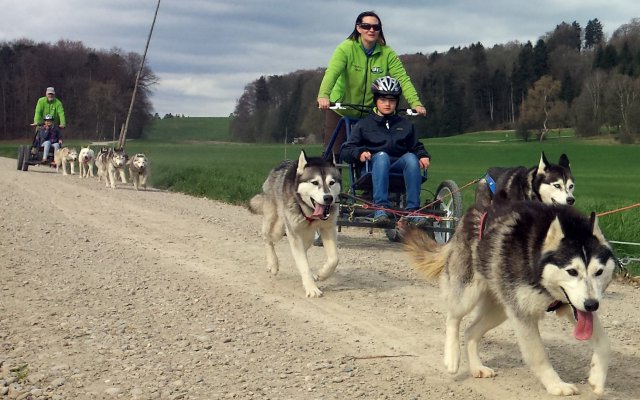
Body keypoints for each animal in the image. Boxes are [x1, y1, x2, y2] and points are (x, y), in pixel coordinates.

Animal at [248, 150, 342, 296]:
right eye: (315, 182)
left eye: (332, 182)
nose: (328, 198)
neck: (310, 213)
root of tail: (279, 165)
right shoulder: (294, 233)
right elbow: (304, 264)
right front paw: (311, 288)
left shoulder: (328, 228)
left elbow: (334, 259)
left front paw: (322, 274)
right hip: (277, 225)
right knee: (267, 238)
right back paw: (273, 263)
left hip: (308, 234)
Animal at [404, 200, 620, 396]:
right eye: (572, 271)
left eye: (599, 272)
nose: (592, 305)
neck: (536, 256)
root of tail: (473, 209)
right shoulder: (523, 315)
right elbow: (539, 355)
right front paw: (556, 385)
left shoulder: (571, 307)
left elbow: (605, 343)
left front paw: (597, 378)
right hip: (468, 294)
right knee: (453, 318)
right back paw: (452, 357)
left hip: (500, 308)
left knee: (471, 331)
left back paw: (476, 367)